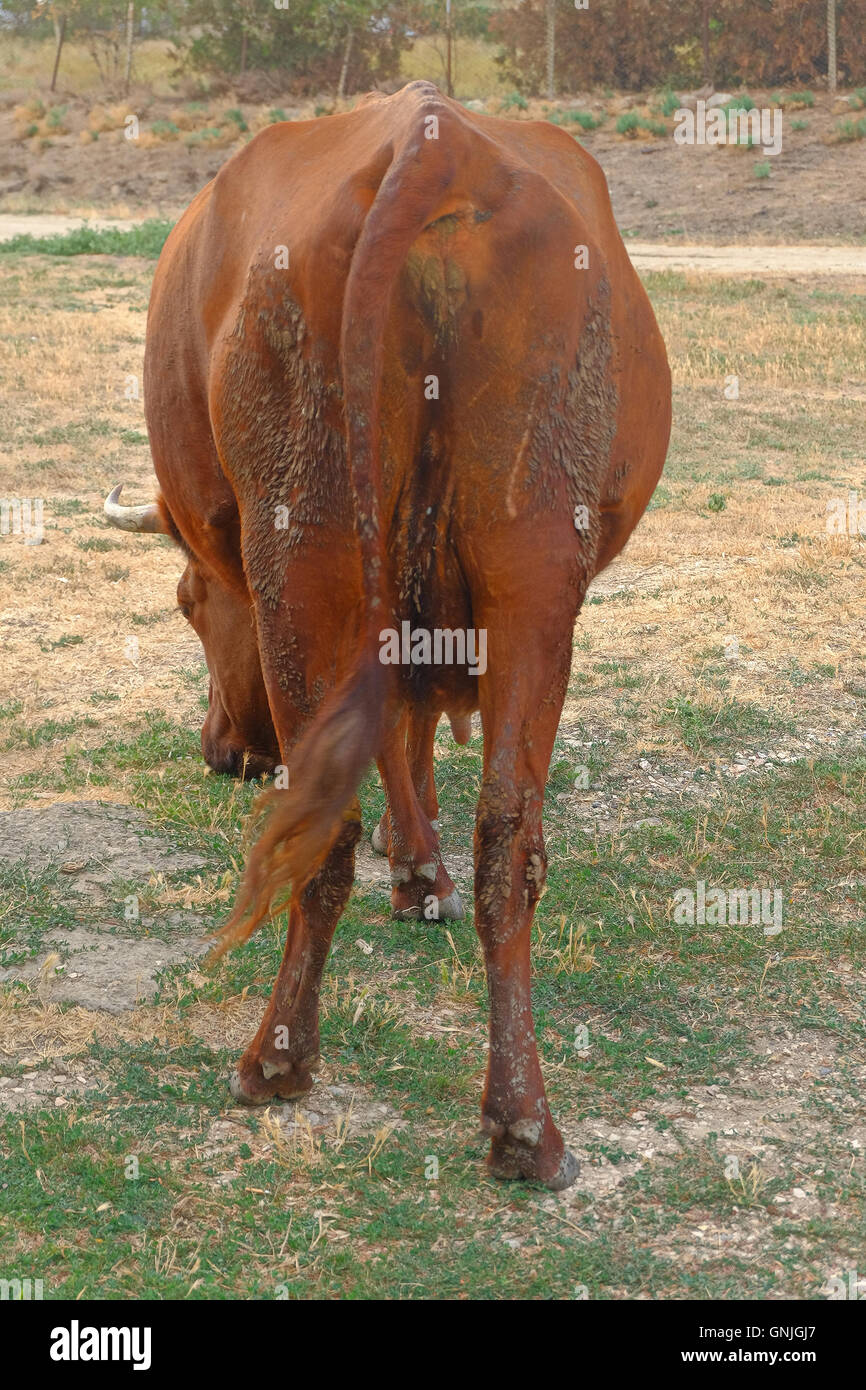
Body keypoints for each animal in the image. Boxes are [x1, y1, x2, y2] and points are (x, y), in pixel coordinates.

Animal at [105, 80, 670, 1189]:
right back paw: (523, 1125)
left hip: (303, 551)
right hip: (532, 562)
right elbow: (411, 740)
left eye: (188, 605)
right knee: (509, 836)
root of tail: (433, 138)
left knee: (323, 822)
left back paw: (279, 1058)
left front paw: (411, 869)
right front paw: (420, 871)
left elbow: (393, 741)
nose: (219, 751)